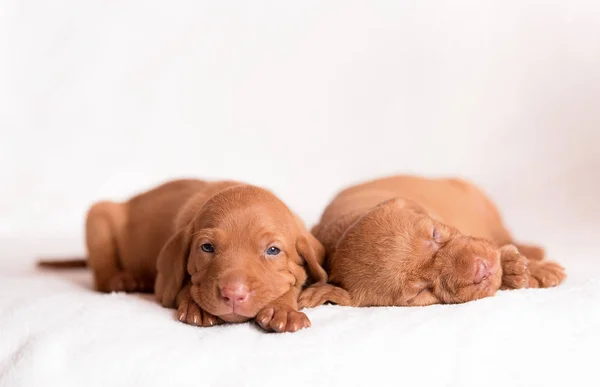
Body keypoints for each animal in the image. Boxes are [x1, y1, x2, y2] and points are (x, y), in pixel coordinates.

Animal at [39, 180, 326, 334]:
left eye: (273, 250)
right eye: (207, 248)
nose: (233, 294)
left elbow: (295, 282)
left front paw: (283, 308)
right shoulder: (166, 281)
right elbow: (178, 285)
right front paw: (196, 304)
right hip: (99, 216)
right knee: (103, 277)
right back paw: (126, 280)